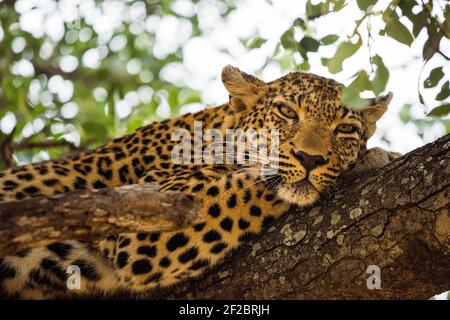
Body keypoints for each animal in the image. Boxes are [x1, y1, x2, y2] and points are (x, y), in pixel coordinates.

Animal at [0, 66, 400, 298]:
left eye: (344, 129)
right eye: (287, 112)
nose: (311, 158)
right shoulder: (144, 221)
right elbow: (249, 183)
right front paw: (371, 160)